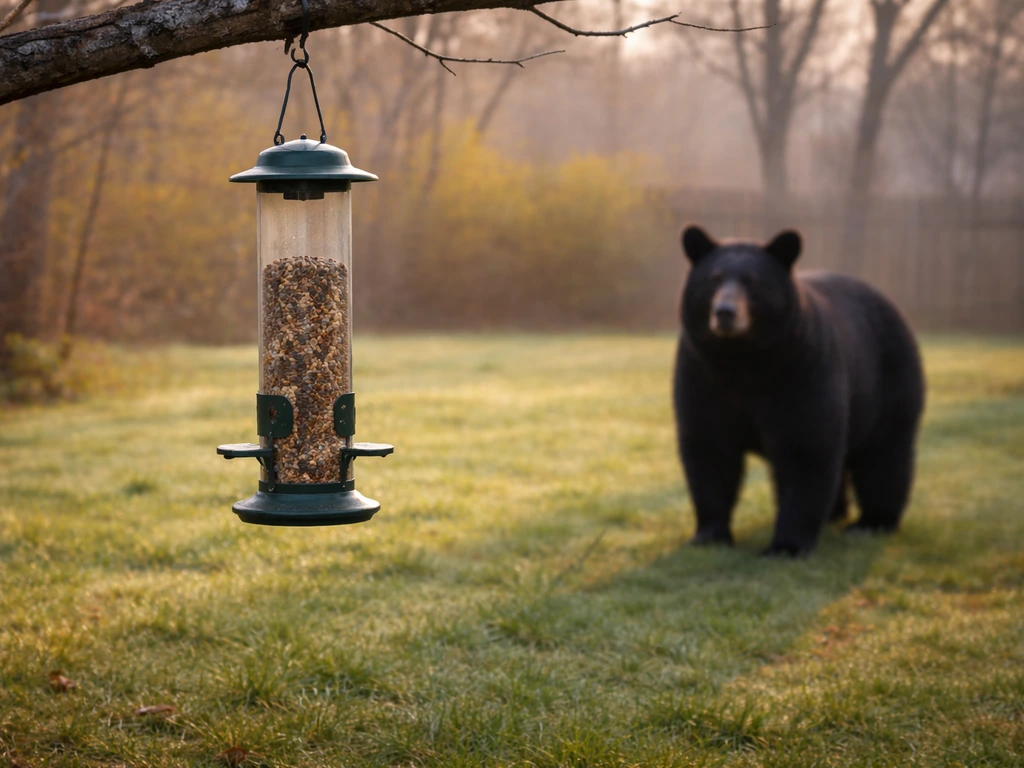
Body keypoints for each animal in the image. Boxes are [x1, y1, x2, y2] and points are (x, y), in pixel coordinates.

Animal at [673, 225, 925, 556]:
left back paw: (871, 523)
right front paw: (708, 535)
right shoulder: (702, 376)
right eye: (713, 278)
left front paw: (786, 547)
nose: (725, 312)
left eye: (753, 281)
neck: (742, 361)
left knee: (885, 454)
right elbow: (709, 448)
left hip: (890, 379)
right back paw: (835, 513)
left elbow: (805, 447)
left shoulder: (802, 372)